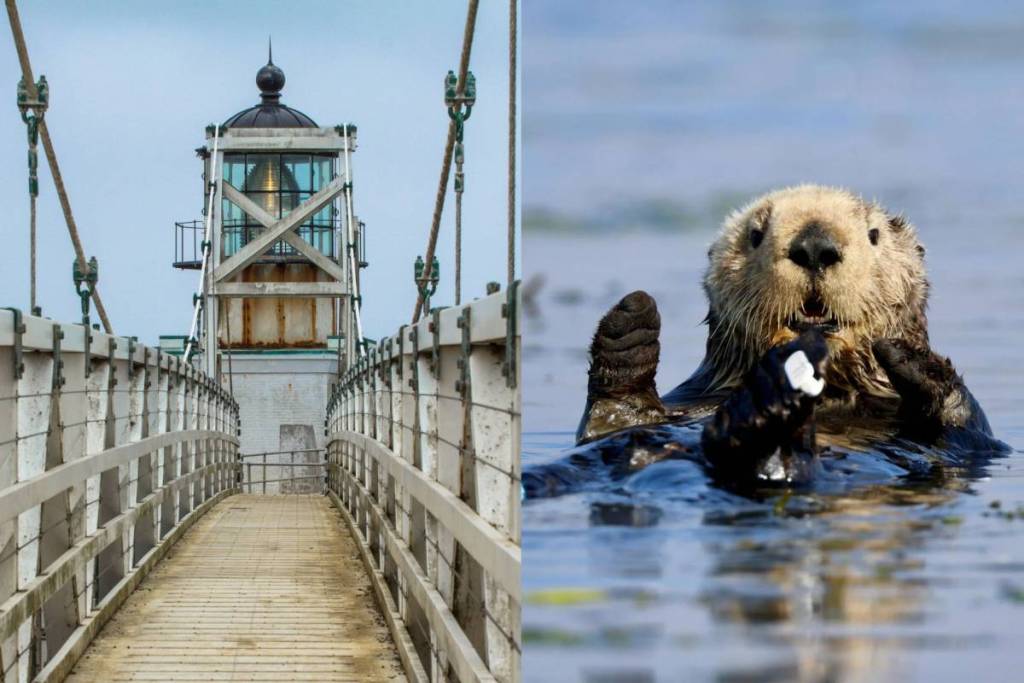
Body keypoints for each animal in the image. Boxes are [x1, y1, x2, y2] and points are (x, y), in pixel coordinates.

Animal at [528, 185, 1005, 495]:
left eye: (874, 235)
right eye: (755, 235)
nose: (815, 246)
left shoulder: (968, 444)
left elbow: (968, 432)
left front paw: (910, 357)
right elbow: (613, 422)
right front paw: (630, 325)